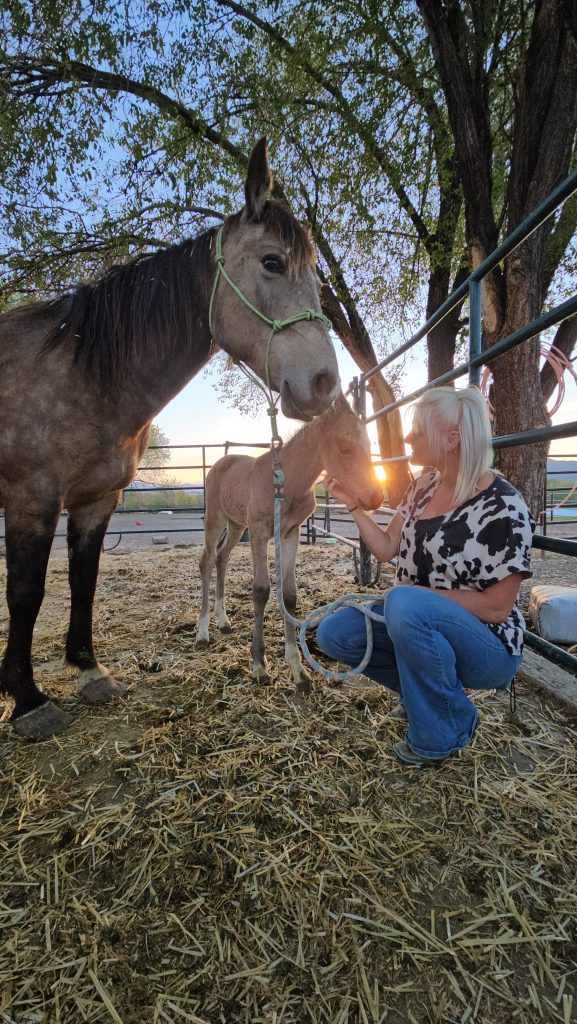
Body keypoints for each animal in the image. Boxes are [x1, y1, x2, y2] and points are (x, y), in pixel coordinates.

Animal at [0, 139, 340, 739]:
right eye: (272, 262)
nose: (325, 383)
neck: (82, 371)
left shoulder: (97, 500)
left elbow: (84, 579)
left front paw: (87, 669)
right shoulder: (30, 498)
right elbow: (25, 592)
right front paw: (28, 699)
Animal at [196, 393, 384, 690]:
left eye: (368, 445)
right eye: (344, 448)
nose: (375, 497)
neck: (286, 484)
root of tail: (220, 463)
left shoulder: (290, 533)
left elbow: (289, 594)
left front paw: (298, 669)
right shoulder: (260, 530)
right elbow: (261, 590)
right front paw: (259, 665)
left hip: (237, 524)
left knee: (222, 558)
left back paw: (223, 621)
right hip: (215, 518)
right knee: (206, 561)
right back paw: (203, 631)